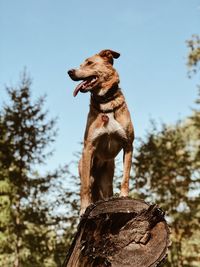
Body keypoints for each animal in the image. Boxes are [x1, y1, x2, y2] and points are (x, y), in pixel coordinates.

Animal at [67, 49, 134, 215]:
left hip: (107, 180)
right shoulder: (88, 147)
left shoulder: (128, 145)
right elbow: (84, 188)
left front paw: (124, 196)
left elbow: (126, 177)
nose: (69, 71)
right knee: (88, 186)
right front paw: (84, 208)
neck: (106, 103)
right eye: (80, 65)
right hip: (87, 170)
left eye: (89, 63)